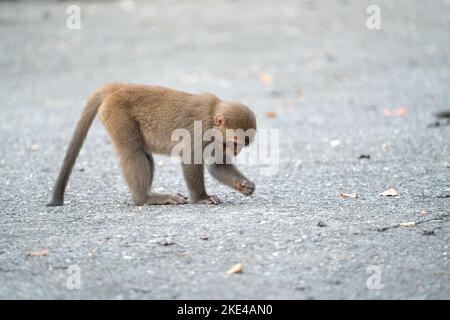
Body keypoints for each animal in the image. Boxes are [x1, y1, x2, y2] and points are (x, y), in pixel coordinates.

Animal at [48, 84, 256, 206]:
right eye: (235, 142)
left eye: (243, 144)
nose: (236, 151)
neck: (212, 116)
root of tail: (119, 87)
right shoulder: (201, 128)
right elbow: (190, 158)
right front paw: (201, 198)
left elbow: (217, 165)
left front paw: (243, 185)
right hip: (116, 112)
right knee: (133, 152)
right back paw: (144, 199)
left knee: (143, 153)